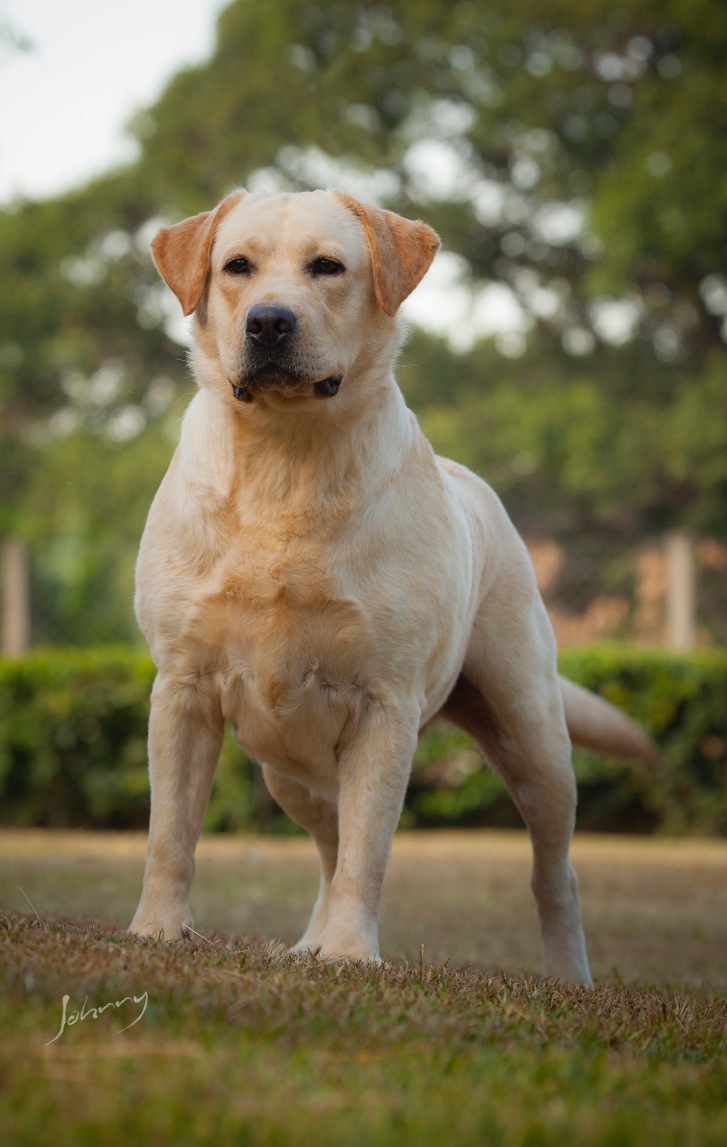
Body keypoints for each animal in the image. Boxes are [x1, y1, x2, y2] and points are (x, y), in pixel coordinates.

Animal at [127, 183, 655, 981]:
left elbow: (368, 852)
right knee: (325, 841)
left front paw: (351, 951)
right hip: (286, 768)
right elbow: (171, 834)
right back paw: (306, 943)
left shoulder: (384, 702)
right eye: (236, 266)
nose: (269, 322)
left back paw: (567, 975)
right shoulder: (183, 688)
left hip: (532, 733)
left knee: (551, 867)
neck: (286, 456)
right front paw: (157, 931)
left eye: (327, 266)